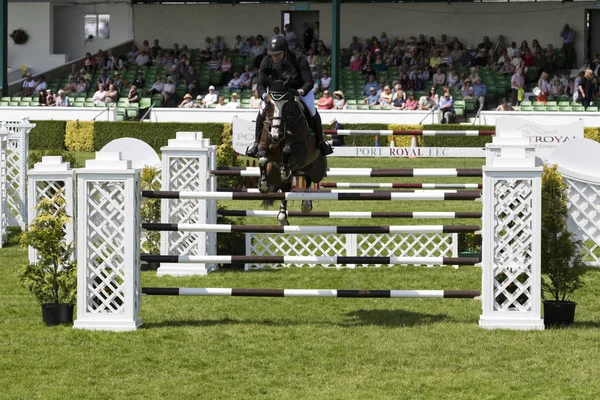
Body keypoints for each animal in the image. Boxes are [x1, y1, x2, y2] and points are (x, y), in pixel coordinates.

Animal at [255, 63, 326, 225]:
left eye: (287, 105)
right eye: (268, 104)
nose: (275, 135)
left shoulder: (302, 151)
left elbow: (287, 150)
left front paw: (285, 169)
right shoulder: (265, 147)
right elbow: (262, 156)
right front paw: (263, 184)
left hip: (316, 168)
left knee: (309, 179)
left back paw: (305, 204)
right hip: (273, 173)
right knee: (285, 189)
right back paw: (282, 217)